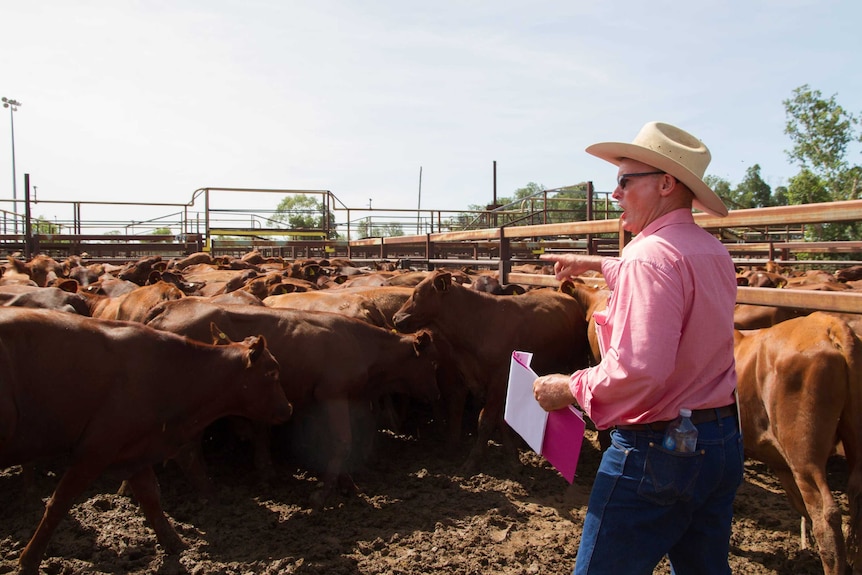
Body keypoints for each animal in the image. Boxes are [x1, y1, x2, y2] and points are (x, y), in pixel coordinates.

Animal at [0, 308, 294, 575]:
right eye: (272, 372)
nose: (288, 408)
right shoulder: (94, 451)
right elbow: (58, 503)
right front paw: (28, 561)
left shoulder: (136, 448)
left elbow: (151, 496)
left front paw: (176, 544)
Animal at [146, 300, 442, 506]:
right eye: (432, 362)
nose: (436, 394)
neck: (361, 344)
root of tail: (168, 307)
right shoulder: (332, 395)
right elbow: (341, 441)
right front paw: (324, 494)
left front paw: (346, 485)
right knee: (188, 450)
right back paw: (209, 493)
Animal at [394, 270, 592, 472]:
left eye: (417, 293)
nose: (396, 318)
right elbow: (497, 417)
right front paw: (512, 456)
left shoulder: (500, 379)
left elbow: (487, 420)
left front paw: (473, 460)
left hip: (578, 357)